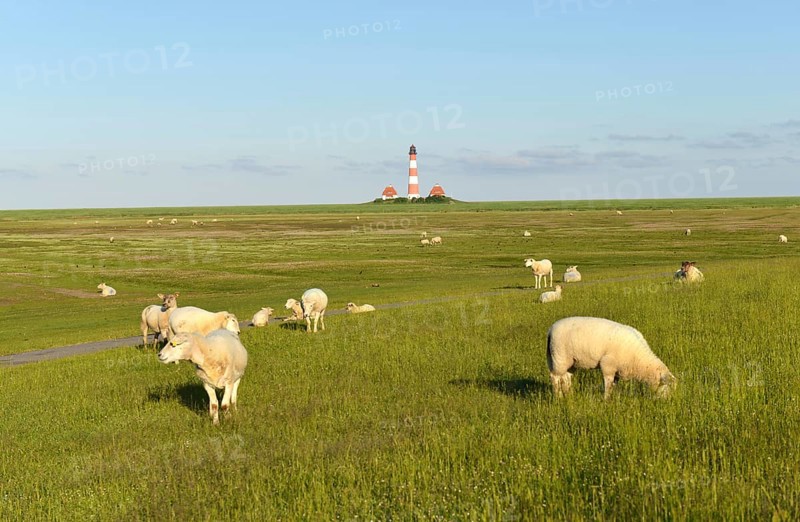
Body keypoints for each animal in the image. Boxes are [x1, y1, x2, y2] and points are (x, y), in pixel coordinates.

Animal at [547, 316, 676, 399]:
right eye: (666, 385)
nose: (669, 402)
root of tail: (550, 329)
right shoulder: (607, 365)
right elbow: (608, 385)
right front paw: (607, 400)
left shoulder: (617, 370)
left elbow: (614, 385)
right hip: (559, 357)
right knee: (555, 377)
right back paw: (558, 397)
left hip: (571, 361)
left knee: (566, 377)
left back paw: (569, 395)